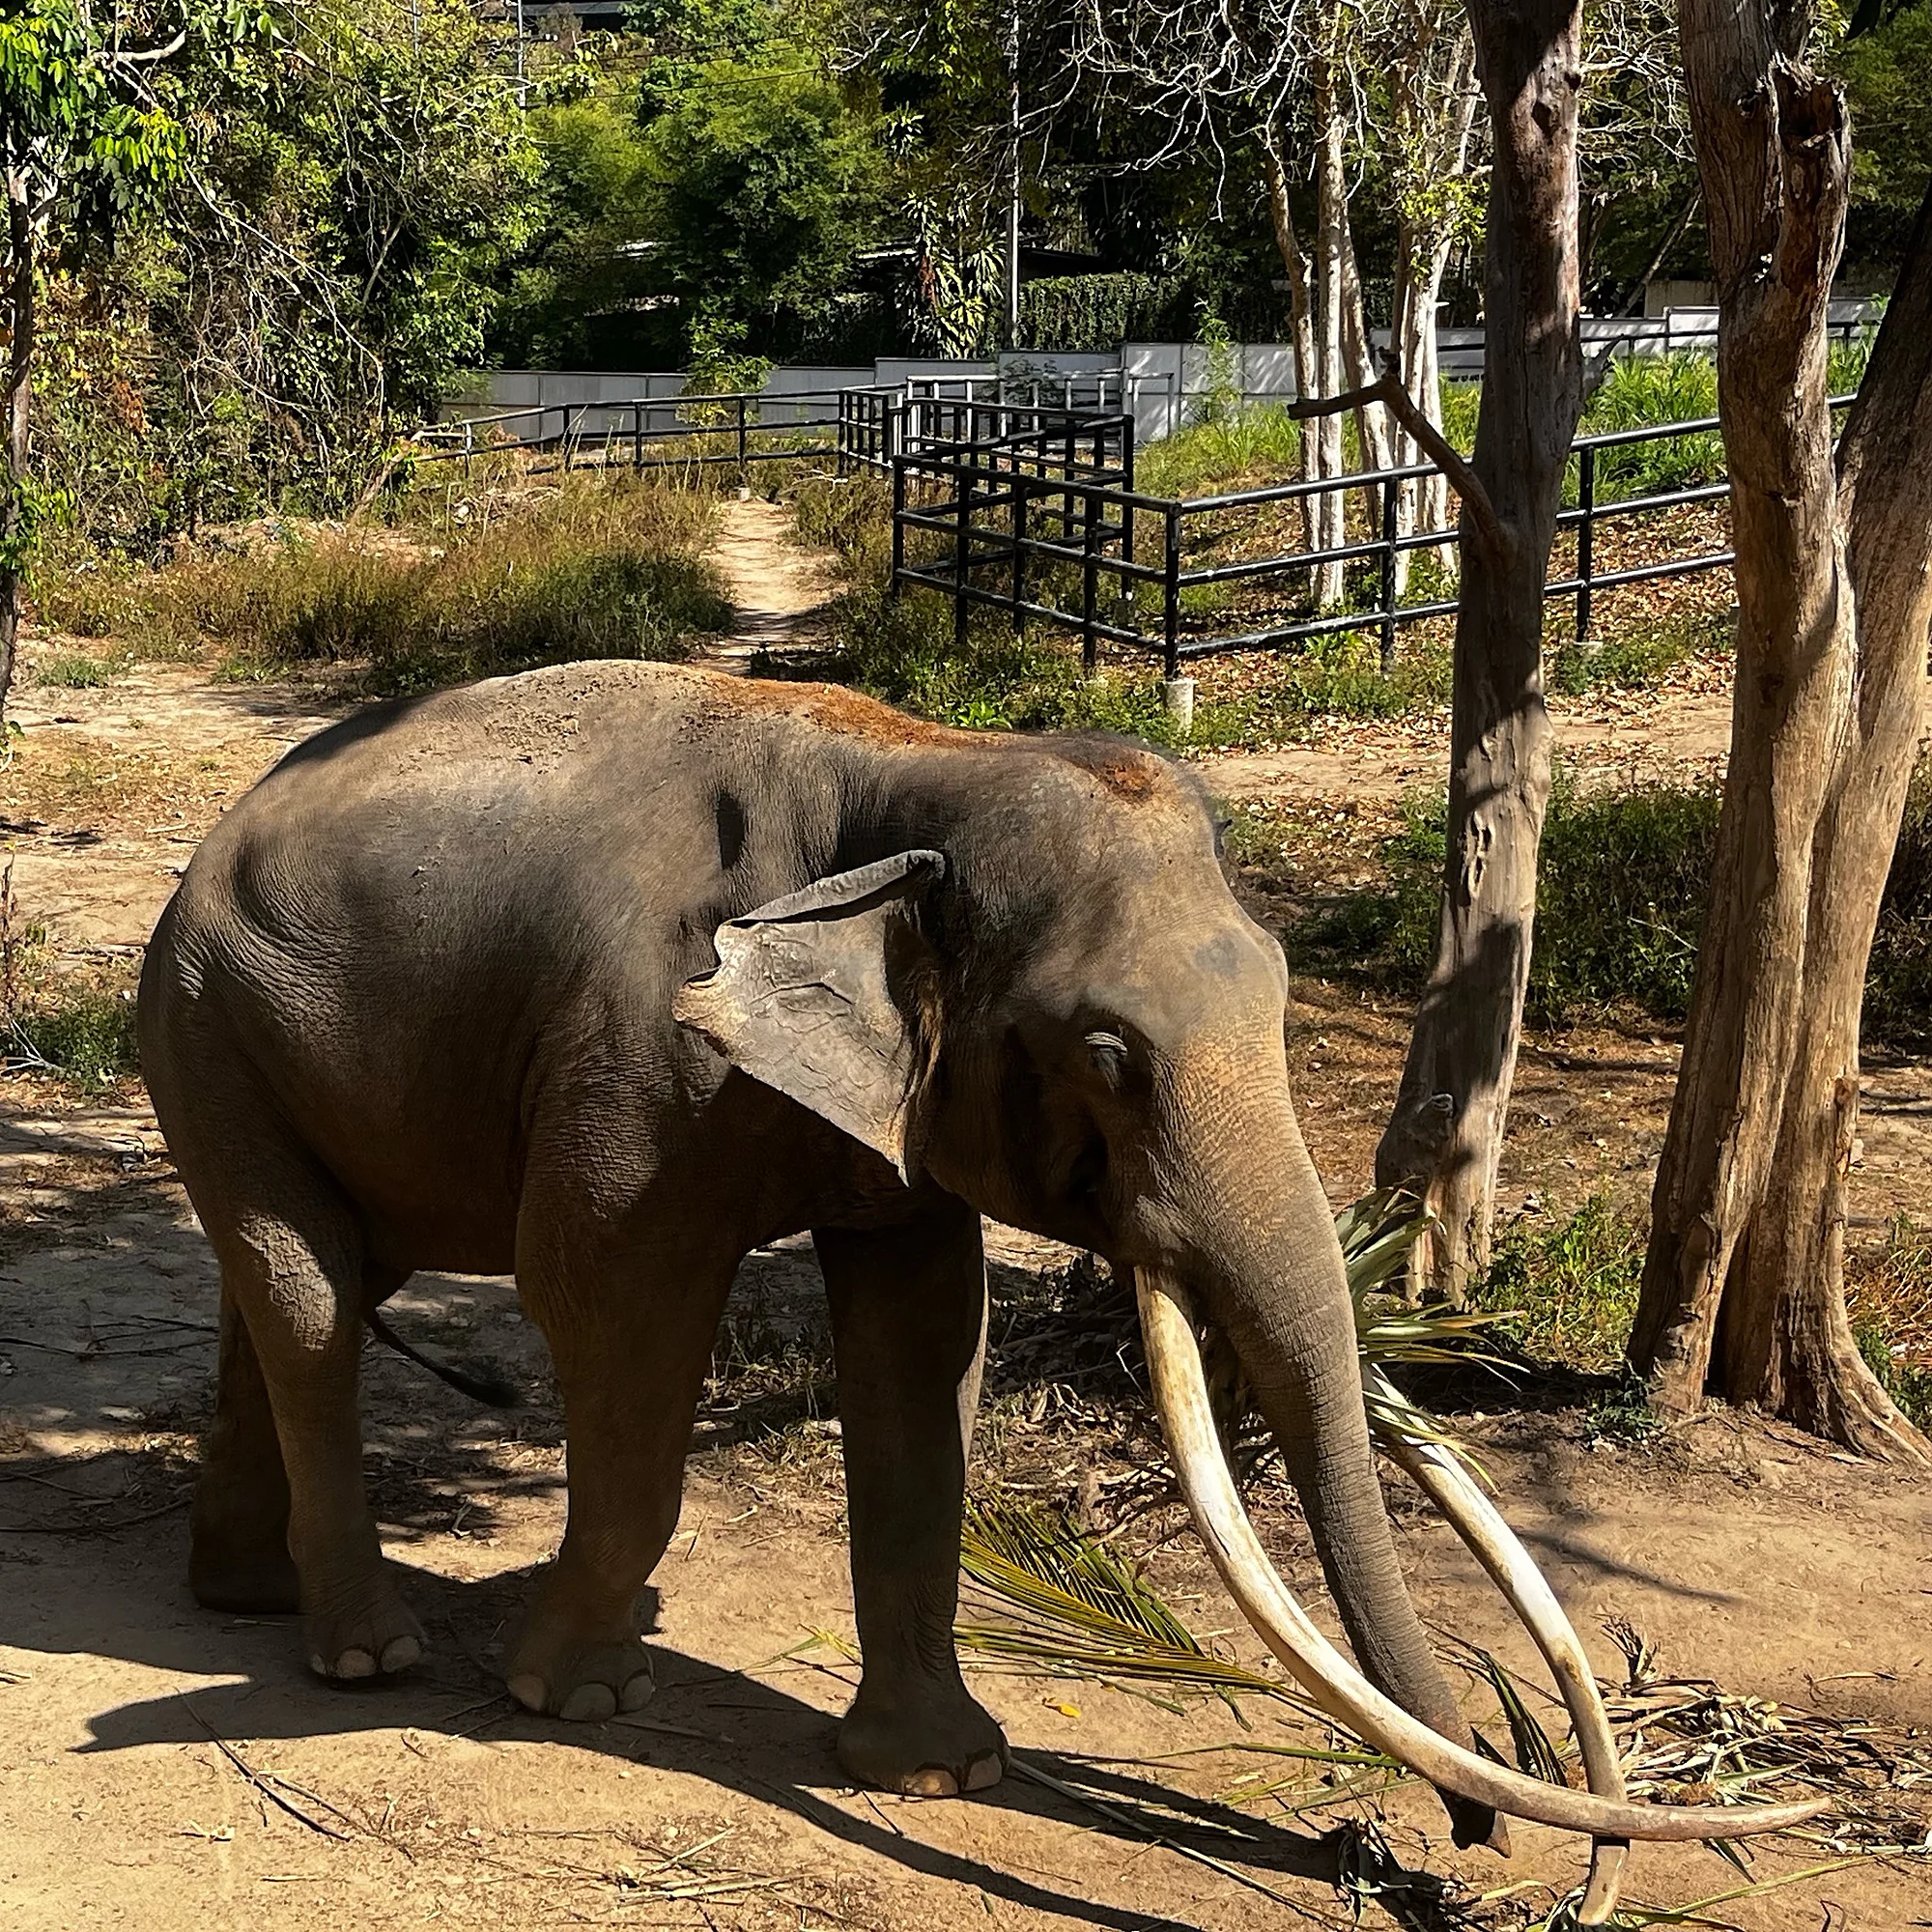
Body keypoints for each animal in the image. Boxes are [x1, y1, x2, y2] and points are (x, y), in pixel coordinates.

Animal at [140, 659, 1820, 1893]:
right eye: (1108, 1054)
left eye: (1285, 993)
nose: (1460, 1848)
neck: (912, 767)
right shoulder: (637, 1049)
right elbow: (610, 1306)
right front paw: (576, 1700)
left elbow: (921, 1337)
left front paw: (944, 1772)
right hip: (207, 1017)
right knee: (310, 1299)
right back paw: (367, 1654)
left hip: (259, 1040)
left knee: (292, 1288)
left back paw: (244, 1593)